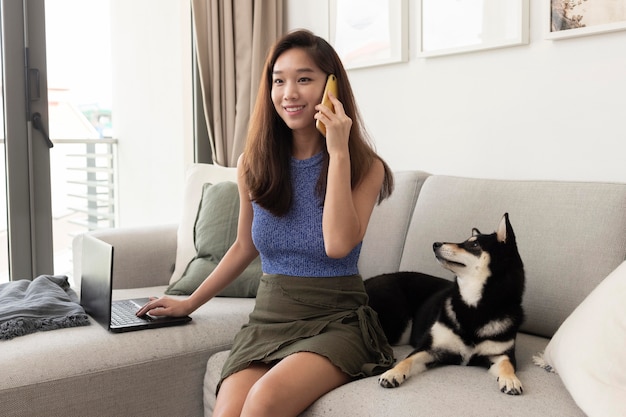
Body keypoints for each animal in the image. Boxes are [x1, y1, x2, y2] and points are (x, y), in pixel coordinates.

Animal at [364, 214, 524, 394]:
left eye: (474, 245)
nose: (435, 244)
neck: (473, 306)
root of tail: (366, 281)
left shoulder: (501, 354)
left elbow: (507, 365)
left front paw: (510, 379)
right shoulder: (430, 348)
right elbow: (407, 360)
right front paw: (392, 373)